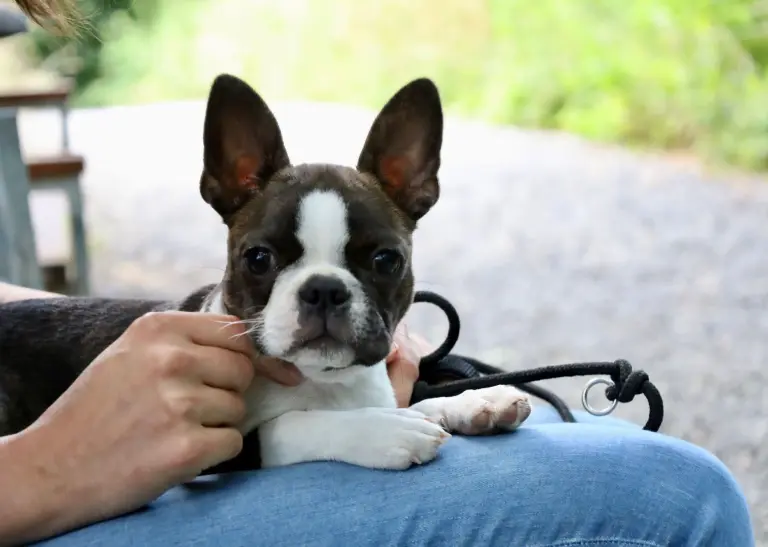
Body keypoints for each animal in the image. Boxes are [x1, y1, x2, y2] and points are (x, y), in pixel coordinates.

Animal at [0, 75, 532, 474]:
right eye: (258, 259)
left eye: (386, 260)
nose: (324, 290)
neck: (324, 383)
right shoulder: (215, 446)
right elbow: (291, 425)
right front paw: (386, 431)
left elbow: (409, 401)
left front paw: (473, 403)